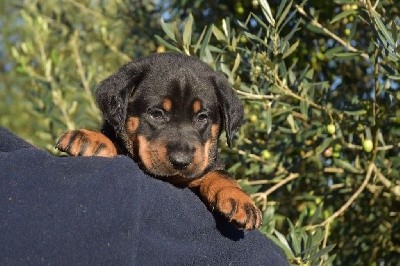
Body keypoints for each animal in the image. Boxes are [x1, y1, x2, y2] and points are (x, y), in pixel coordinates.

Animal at [57, 53, 262, 230]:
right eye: (157, 114)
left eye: (202, 117)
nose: (181, 160)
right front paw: (90, 138)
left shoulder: (204, 167)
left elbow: (221, 174)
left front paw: (239, 199)